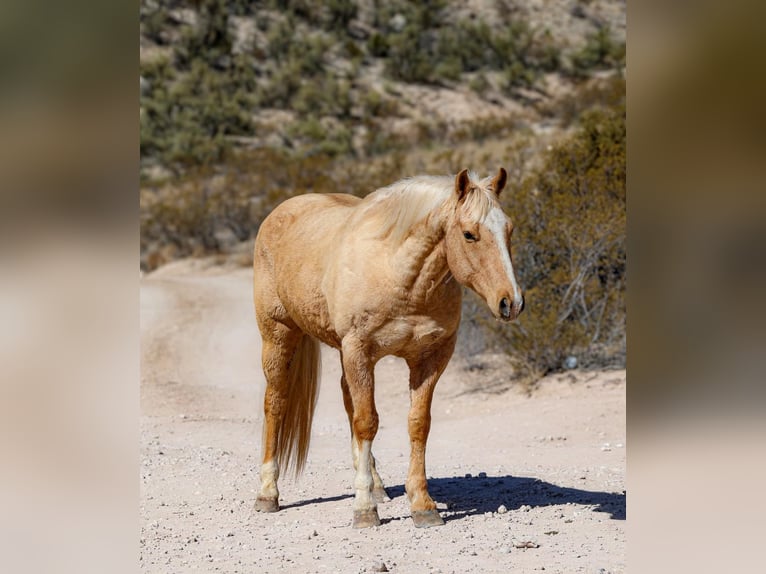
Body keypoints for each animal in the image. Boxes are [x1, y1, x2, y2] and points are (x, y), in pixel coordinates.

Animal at [252, 168, 524, 528]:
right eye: (469, 234)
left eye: (509, 229)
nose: (512, 302)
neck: (400, 275)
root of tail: (279, 212)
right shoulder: (360, 352)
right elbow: (368, 421)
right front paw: (364, 509)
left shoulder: (429, 359)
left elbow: (417, 424)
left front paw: (422, 504)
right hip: (278, 337)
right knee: (276, 403)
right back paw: (267, 493)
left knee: (347, 402)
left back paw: (376, 484)